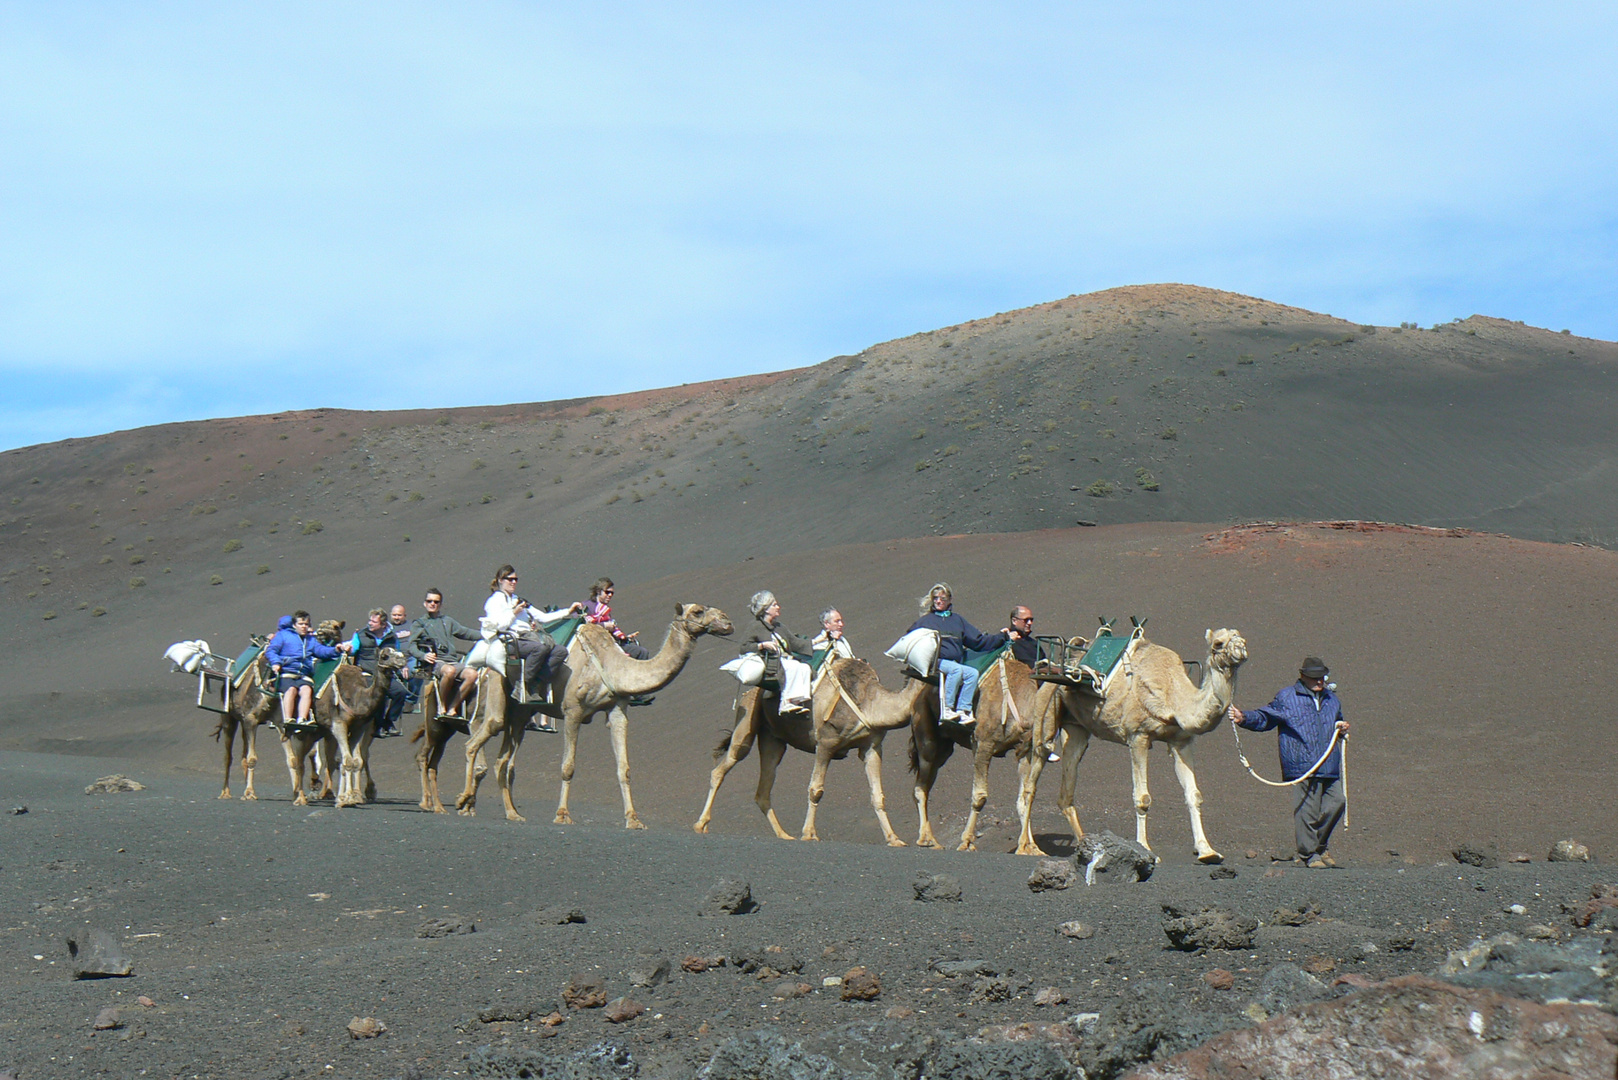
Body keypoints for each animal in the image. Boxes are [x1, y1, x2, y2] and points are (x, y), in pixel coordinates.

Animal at [556, 605, 734, 835]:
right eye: (697, 611)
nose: (727, 621)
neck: (608, 664)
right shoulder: (572, 709)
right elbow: (568, 765)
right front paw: (562, 815)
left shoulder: (617, 708)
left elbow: (624, 769)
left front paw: (633, 820)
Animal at [692, 650, 938, 841]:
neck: (870, 700)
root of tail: (750, 689)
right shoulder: (825, 743)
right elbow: (816, 789)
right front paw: (809, 834)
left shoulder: (871, 747)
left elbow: (877, 794)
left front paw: (894, 838)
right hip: (746, 719)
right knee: (723, 766)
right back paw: (700, 825)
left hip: (773, 739)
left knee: (763, 789)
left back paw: (784, 835)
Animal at [1022, 628, 1249, 867]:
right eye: (1218, 643)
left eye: (1240, 636)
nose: (1241, 648)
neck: (1174, 698)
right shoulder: (1138, 736)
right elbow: (1142, 798)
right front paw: (1146, 850)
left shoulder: (1181, 741)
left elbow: (1194, 794)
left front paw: (1208, 851)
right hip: (1045, 710)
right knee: (1032, 778)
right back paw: (1028, 848)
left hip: (1077, 729)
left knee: (1066, 789)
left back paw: (1086, 846)